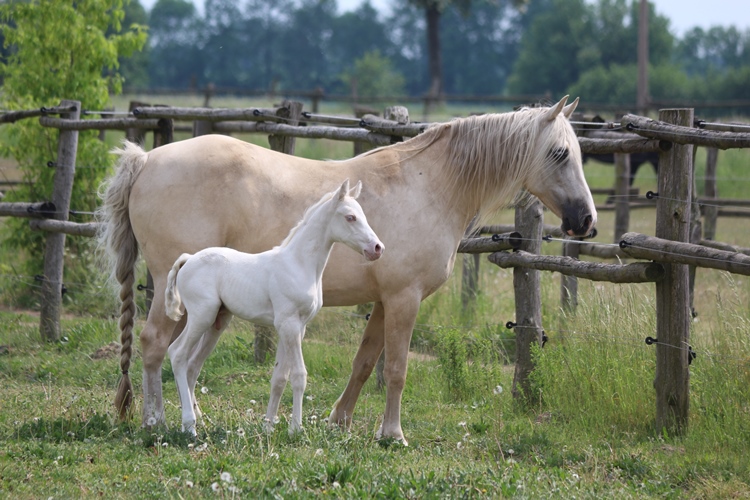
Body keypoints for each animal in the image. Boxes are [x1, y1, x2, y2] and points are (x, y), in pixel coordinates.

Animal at [167, 180, 384, 434]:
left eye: (363, 215)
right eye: (350, 217)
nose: (377, 248)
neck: (299, 264)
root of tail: (188, 259)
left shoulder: (295, 327)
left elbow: (279, 377)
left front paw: (269, 427)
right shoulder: (289, 323)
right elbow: (299, 375)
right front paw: (296, 429)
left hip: (217, 322)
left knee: (192, 365)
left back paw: (199, 419)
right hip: (201, 316)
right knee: (178, 354)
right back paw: (189, 425)